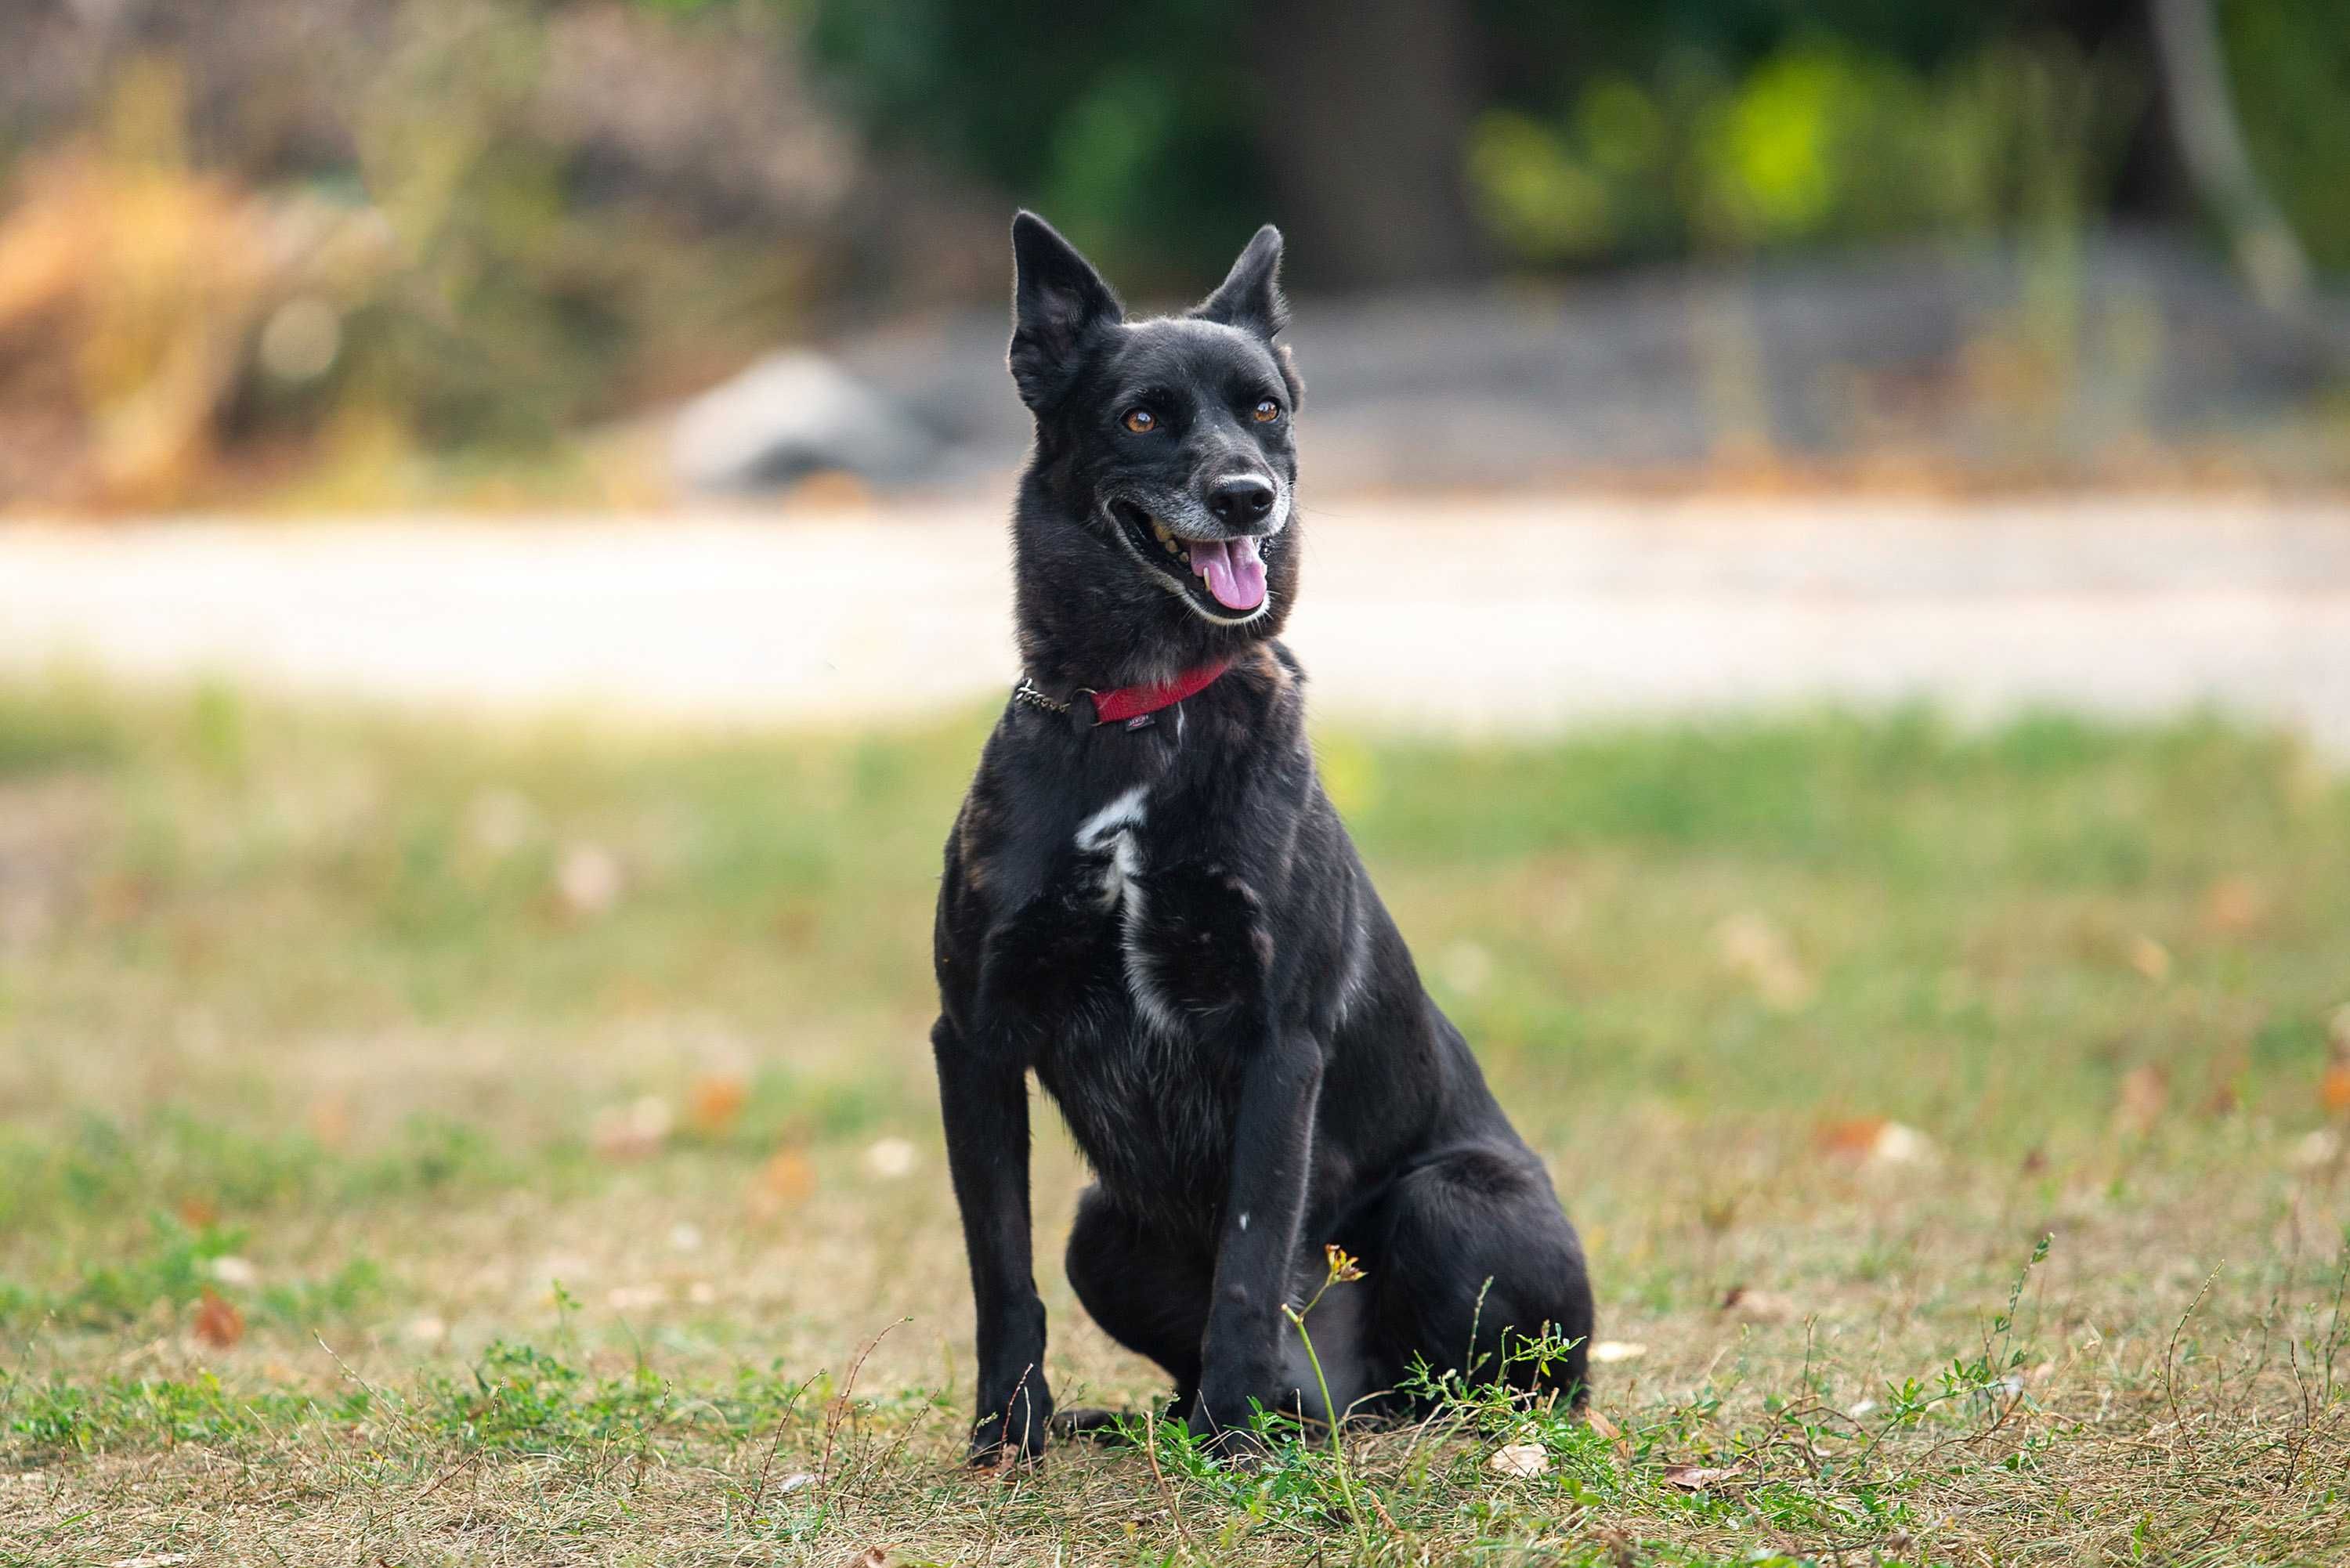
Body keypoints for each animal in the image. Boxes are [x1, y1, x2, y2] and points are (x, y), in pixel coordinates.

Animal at [926, 215, 1589, 1466]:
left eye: (1268, 408)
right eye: (1142, 417)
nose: (1248, 498)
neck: (1147, 719)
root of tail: (1349, 1391)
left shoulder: (1280, 1043)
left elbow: (1248, 1253)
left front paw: (1231, 1436)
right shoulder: (974, 1040)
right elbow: (1000, 1270)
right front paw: (1007, 1435)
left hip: (1454, 1200)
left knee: (1500, 1384)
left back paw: (1299, 1420)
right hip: (1103, 1226)